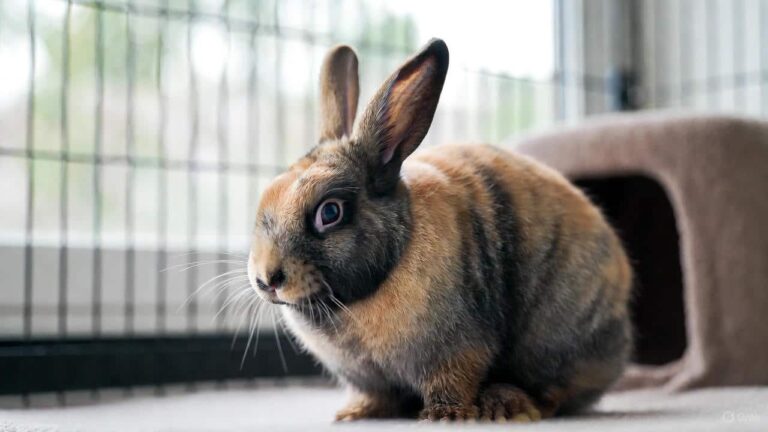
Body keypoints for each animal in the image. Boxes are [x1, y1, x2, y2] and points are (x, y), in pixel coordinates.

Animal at [247, 38, 633, 422]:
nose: (267, 279)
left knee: (552, 392)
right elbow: (373, 395)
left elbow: (452, 382)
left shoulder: (458, 349)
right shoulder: (366, 377)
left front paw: (443, 416)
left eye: (329, 212)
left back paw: (507, 406)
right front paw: (354, 414)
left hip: (555, 338)